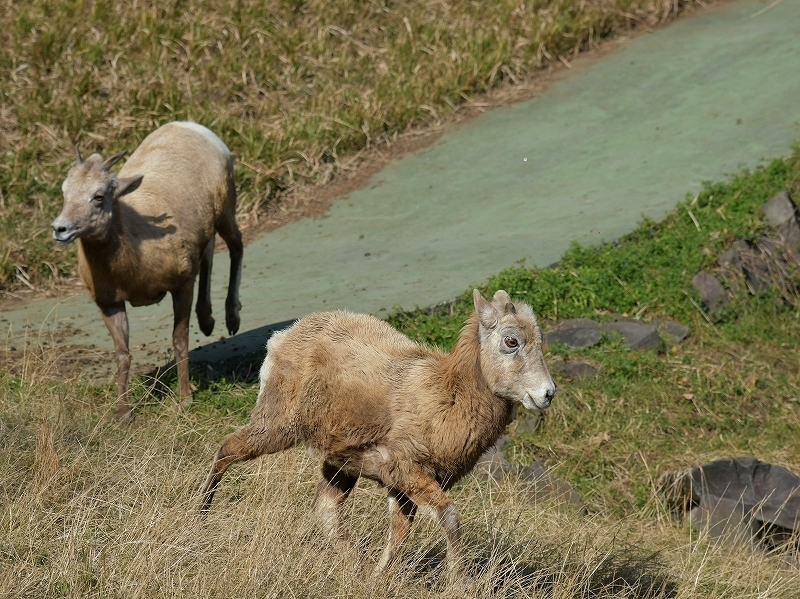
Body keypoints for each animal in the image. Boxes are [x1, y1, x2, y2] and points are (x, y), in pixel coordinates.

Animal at [51, 122, 242, 422]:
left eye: (99, 196)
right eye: (64, 191)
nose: (60, 229)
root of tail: (191, 125)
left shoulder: (182, 286)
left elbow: (179, 340)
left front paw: (184, 401)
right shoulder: (110, 303)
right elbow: (122, 354)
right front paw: (123, 413)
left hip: (226, 210)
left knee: (236, 246)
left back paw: (232, 319)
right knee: (209, 253)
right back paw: (207, 320)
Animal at [198, 290, 556, 576]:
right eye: (511, 341)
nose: (547, 393)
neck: (447, 395)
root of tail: (282, 337)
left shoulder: (403, 487)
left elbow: (399, 535)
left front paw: (377, 577)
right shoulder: (410, 473)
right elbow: (449, 517)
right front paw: (458, 583)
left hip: (338, 464)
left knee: (325, 512)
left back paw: (356, 565)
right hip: (276, 426)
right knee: (227, 449)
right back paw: (200, 520)